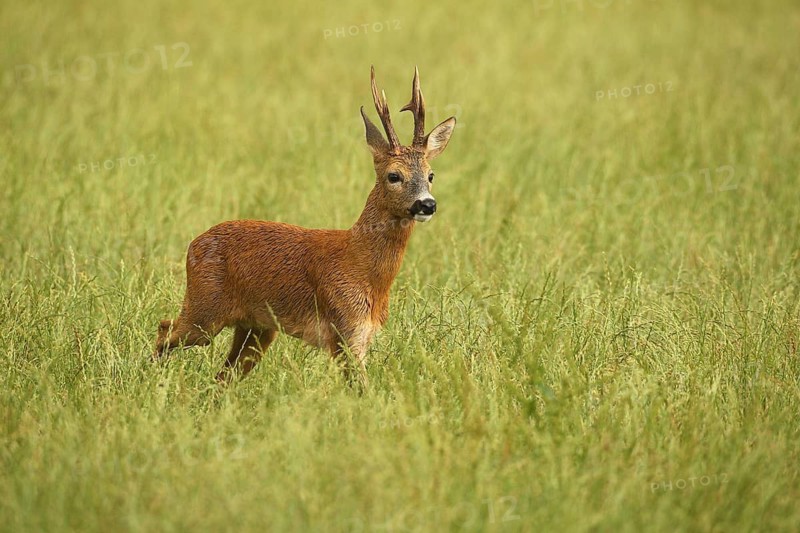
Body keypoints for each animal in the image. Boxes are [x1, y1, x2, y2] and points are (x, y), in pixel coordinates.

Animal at [153, 66, 456, 385]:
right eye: (394, 176)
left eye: (431, 175)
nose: (427, 204)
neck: (362, 266)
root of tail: (194, 244)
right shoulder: (344, 329)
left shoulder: (362, 334)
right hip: (205, 308)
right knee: (164, 328)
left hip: (256, 327)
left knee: (222, 375)